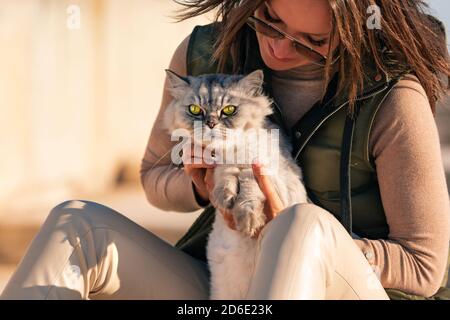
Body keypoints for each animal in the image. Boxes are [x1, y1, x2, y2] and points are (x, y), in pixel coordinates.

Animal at [163, 70, 308, 300]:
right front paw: (226, 196)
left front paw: (248, 221)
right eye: (195, 110)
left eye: (229, 110)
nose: (211, 123)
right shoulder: (219, 166)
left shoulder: (278, 177)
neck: (231, 152)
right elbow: (226, 174)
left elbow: (249, 184)